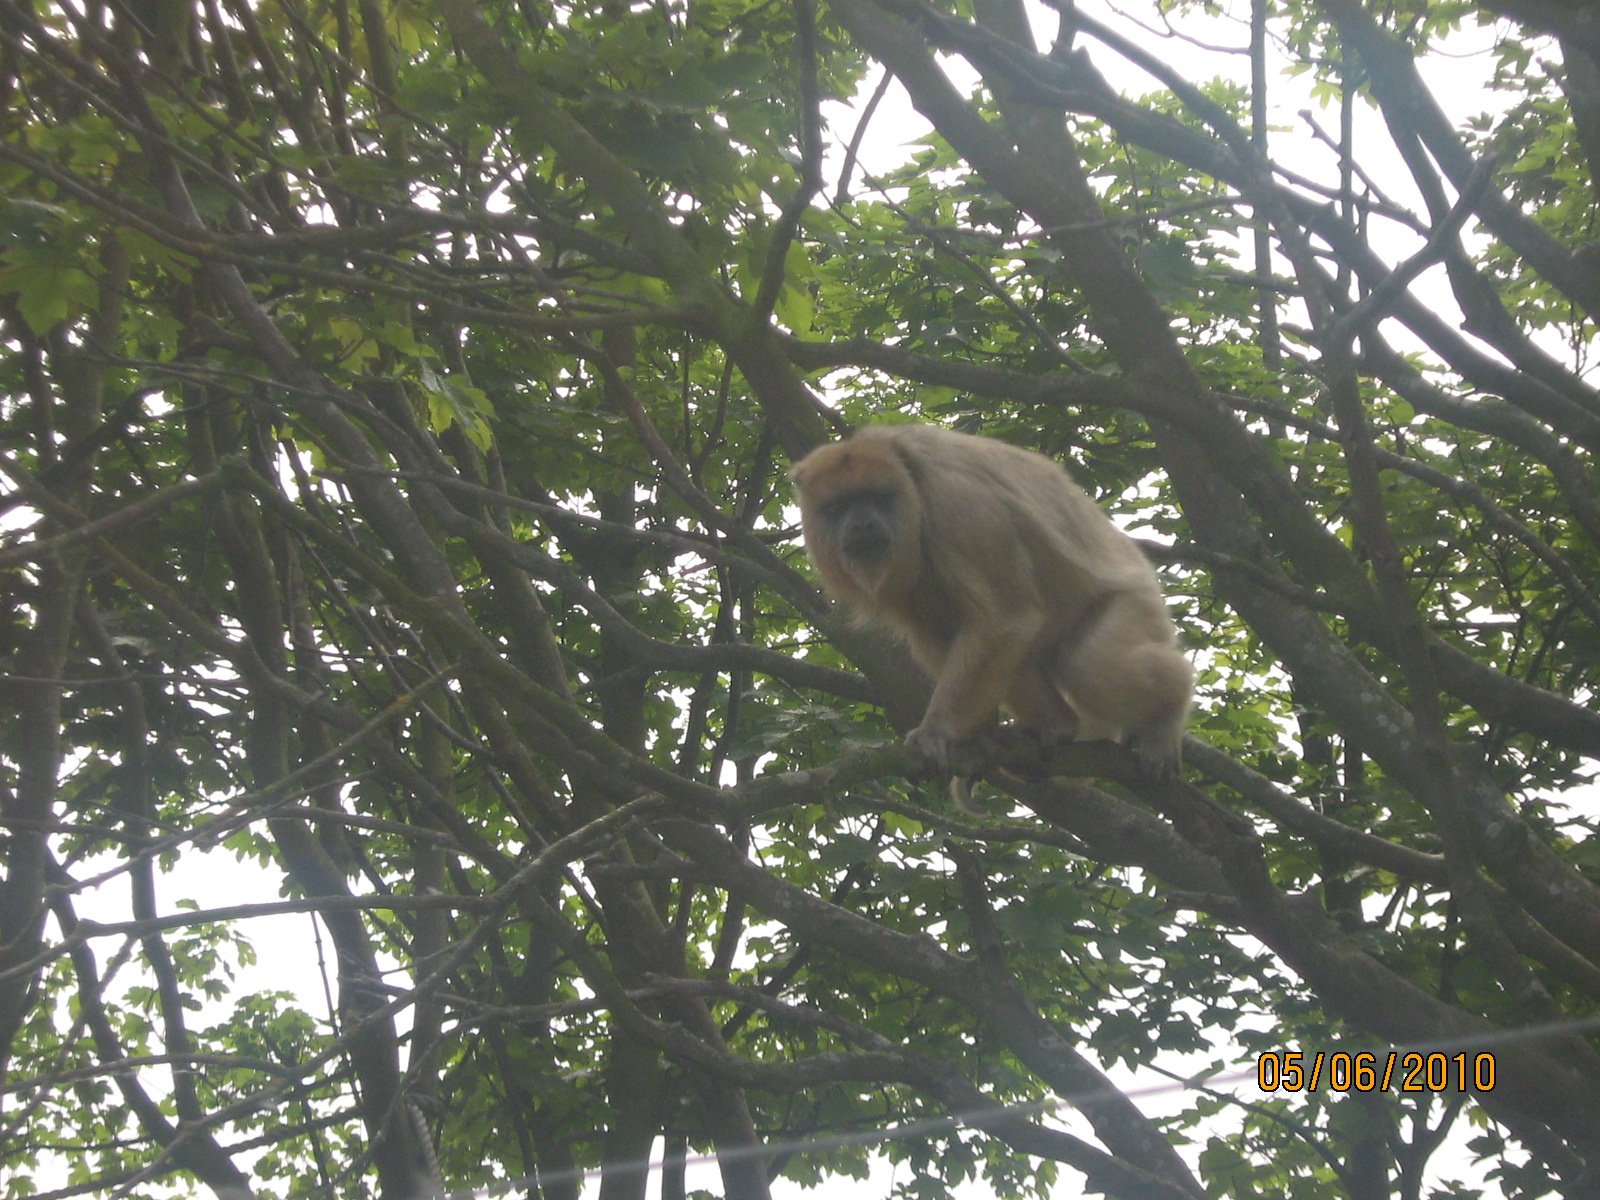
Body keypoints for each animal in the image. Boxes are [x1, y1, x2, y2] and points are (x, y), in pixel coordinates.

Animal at [789, 423, 1191, 790]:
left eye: (877, 497)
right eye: (839, 506)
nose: (862, 524)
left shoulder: (963, 508)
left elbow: (1005, 619)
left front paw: (936, 732)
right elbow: (942, 635)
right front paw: (977, 736)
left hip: (1139, 602)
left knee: (1088, 664)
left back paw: (1164, 719)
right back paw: (1058, 724)